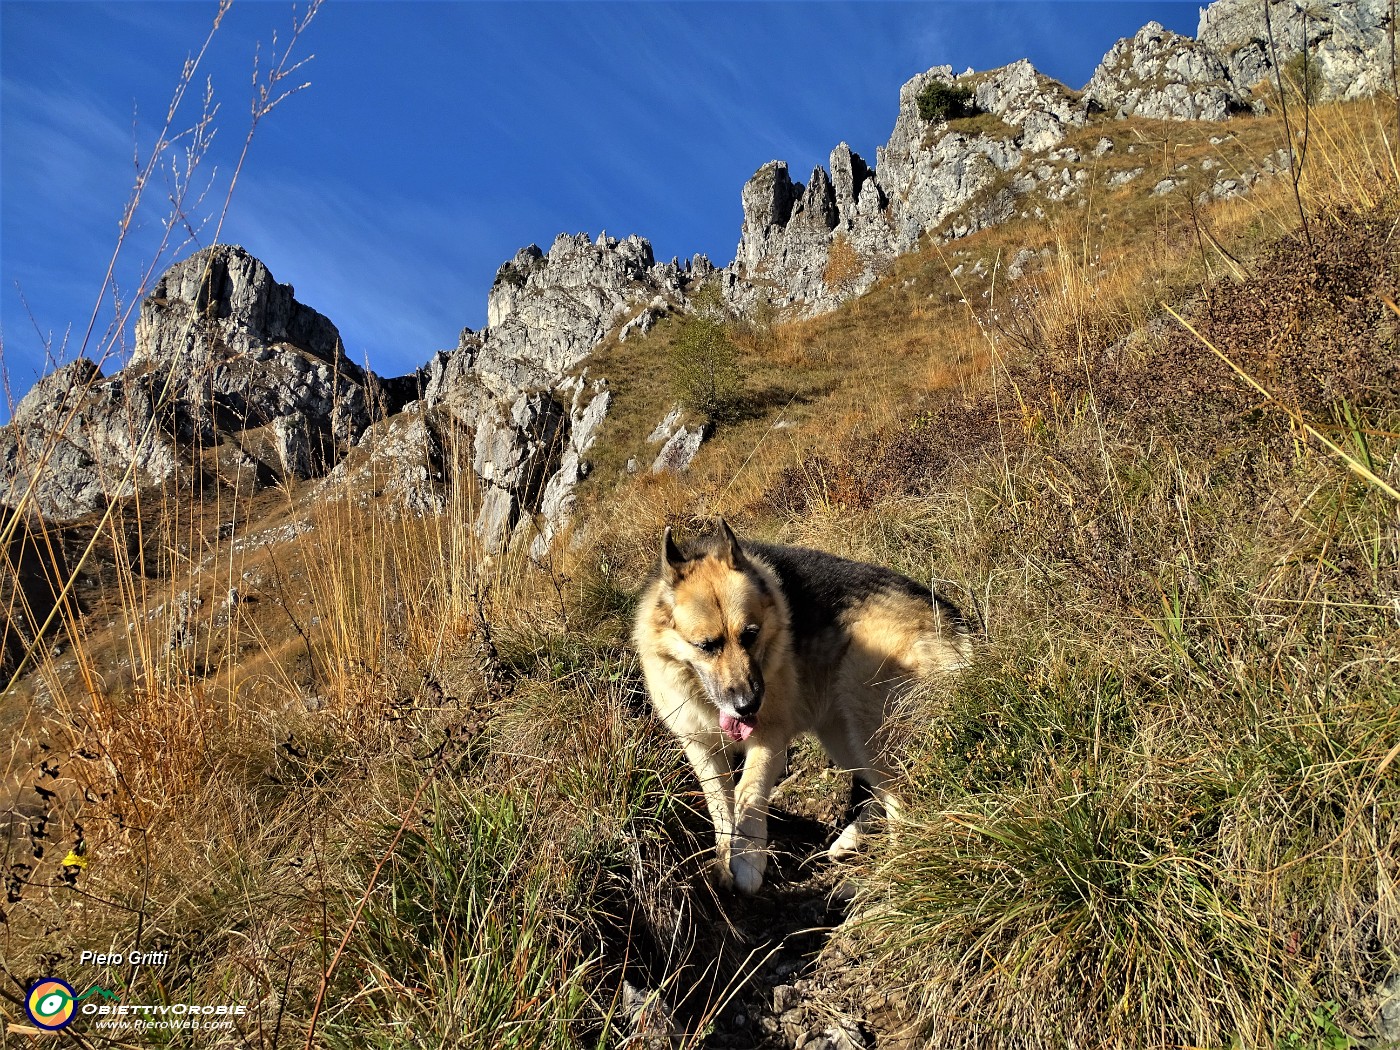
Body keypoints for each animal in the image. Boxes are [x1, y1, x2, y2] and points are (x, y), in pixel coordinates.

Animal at [635, 523, 974, 890]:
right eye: (706, 646)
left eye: (750, 635)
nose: (748, 705)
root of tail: (956, 623)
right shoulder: (700, 747)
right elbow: (720, 805)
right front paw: (726, 857)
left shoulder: (769, 738)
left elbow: (747, 792)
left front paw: (747, 860)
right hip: (841, 735)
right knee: (879, 792)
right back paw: (852, 838)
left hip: (870, 727)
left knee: (903, 805)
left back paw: (886, 882)